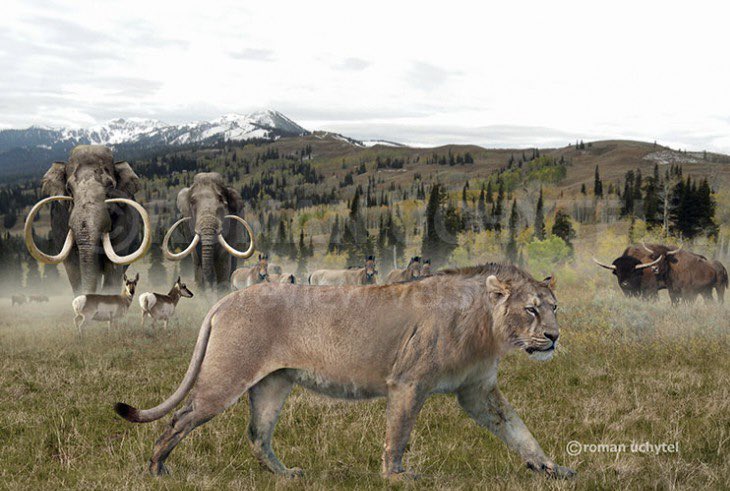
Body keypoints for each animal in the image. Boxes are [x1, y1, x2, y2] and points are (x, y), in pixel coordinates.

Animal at [114, 263, 574, 480]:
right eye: (531, 309)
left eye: (554, 307)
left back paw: (286, 475)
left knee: (257, 435)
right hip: (225, 379)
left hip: (272, 385)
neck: (486, 327)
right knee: (180, 418)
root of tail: (227, 300)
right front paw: (396, 477)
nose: (553, 337)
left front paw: (552, 469)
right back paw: (156, 469)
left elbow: (517, 430)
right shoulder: (408, 382)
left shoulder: (478, 391)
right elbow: (398, 434)